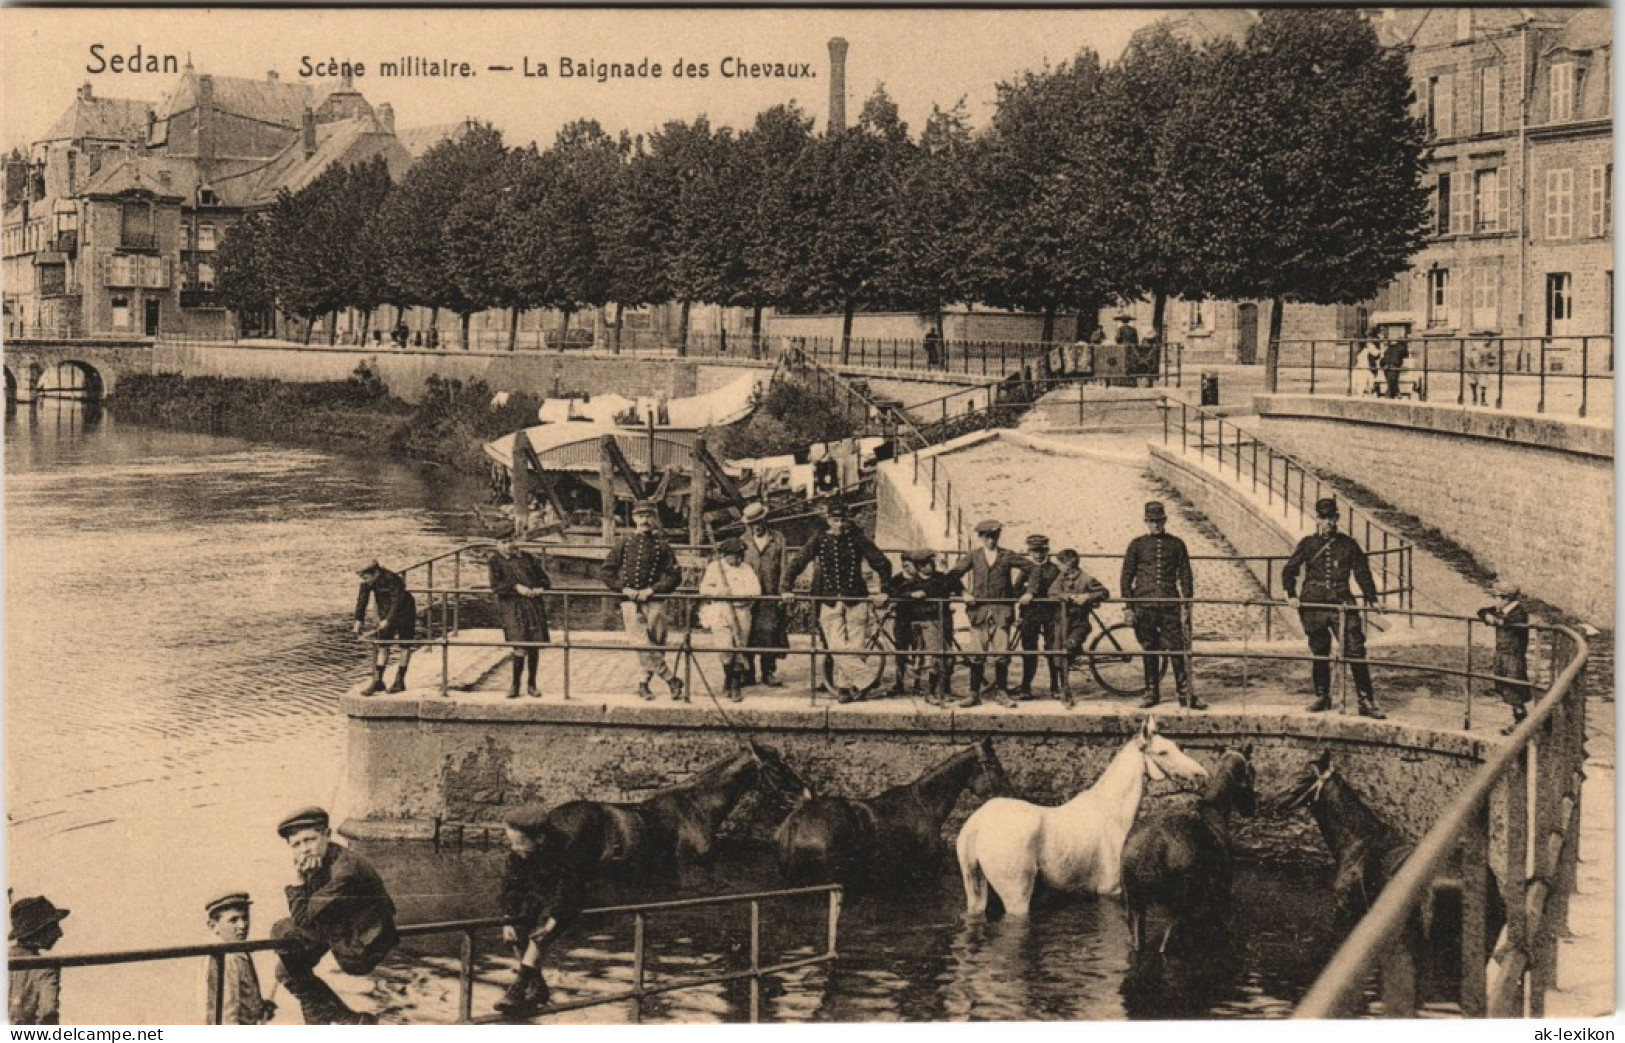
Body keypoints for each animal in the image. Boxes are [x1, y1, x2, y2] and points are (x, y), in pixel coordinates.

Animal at [949, 718, 1209, 916]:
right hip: (1016, 894)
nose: (1201, 774)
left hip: (975, 886)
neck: (1112, 812)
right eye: (1163, 752)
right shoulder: (1110, 890)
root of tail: (977, 825)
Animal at [1124, 740, 1261, 948]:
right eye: (1252, 770)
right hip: (1179, 907)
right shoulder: (1222, 890)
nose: (1251, 809)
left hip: (1135, 906)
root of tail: (1152, 849)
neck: (1214, 809)